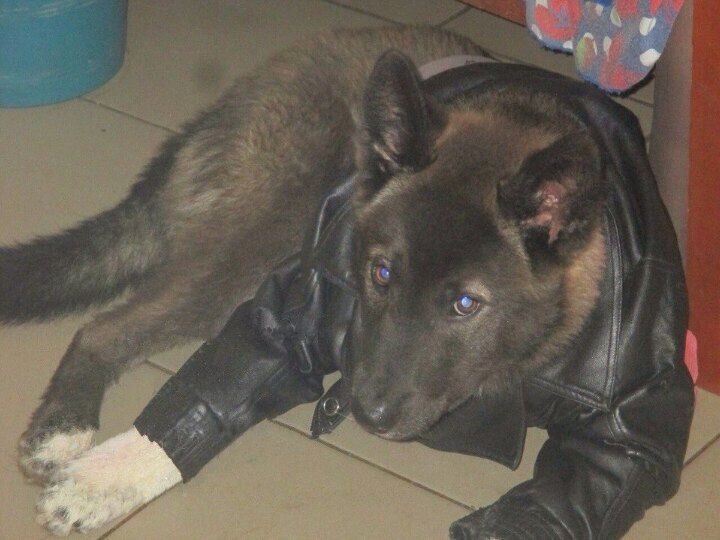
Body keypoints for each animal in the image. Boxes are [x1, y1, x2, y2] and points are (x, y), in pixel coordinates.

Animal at [5, 23, 692, 536]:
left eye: (465, 304)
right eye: (380, 273)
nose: (367, 412)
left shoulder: (627, 432)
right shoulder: (304, 300)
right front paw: (105, 482)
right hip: (263, 241)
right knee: (105, 328)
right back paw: (66, 426)